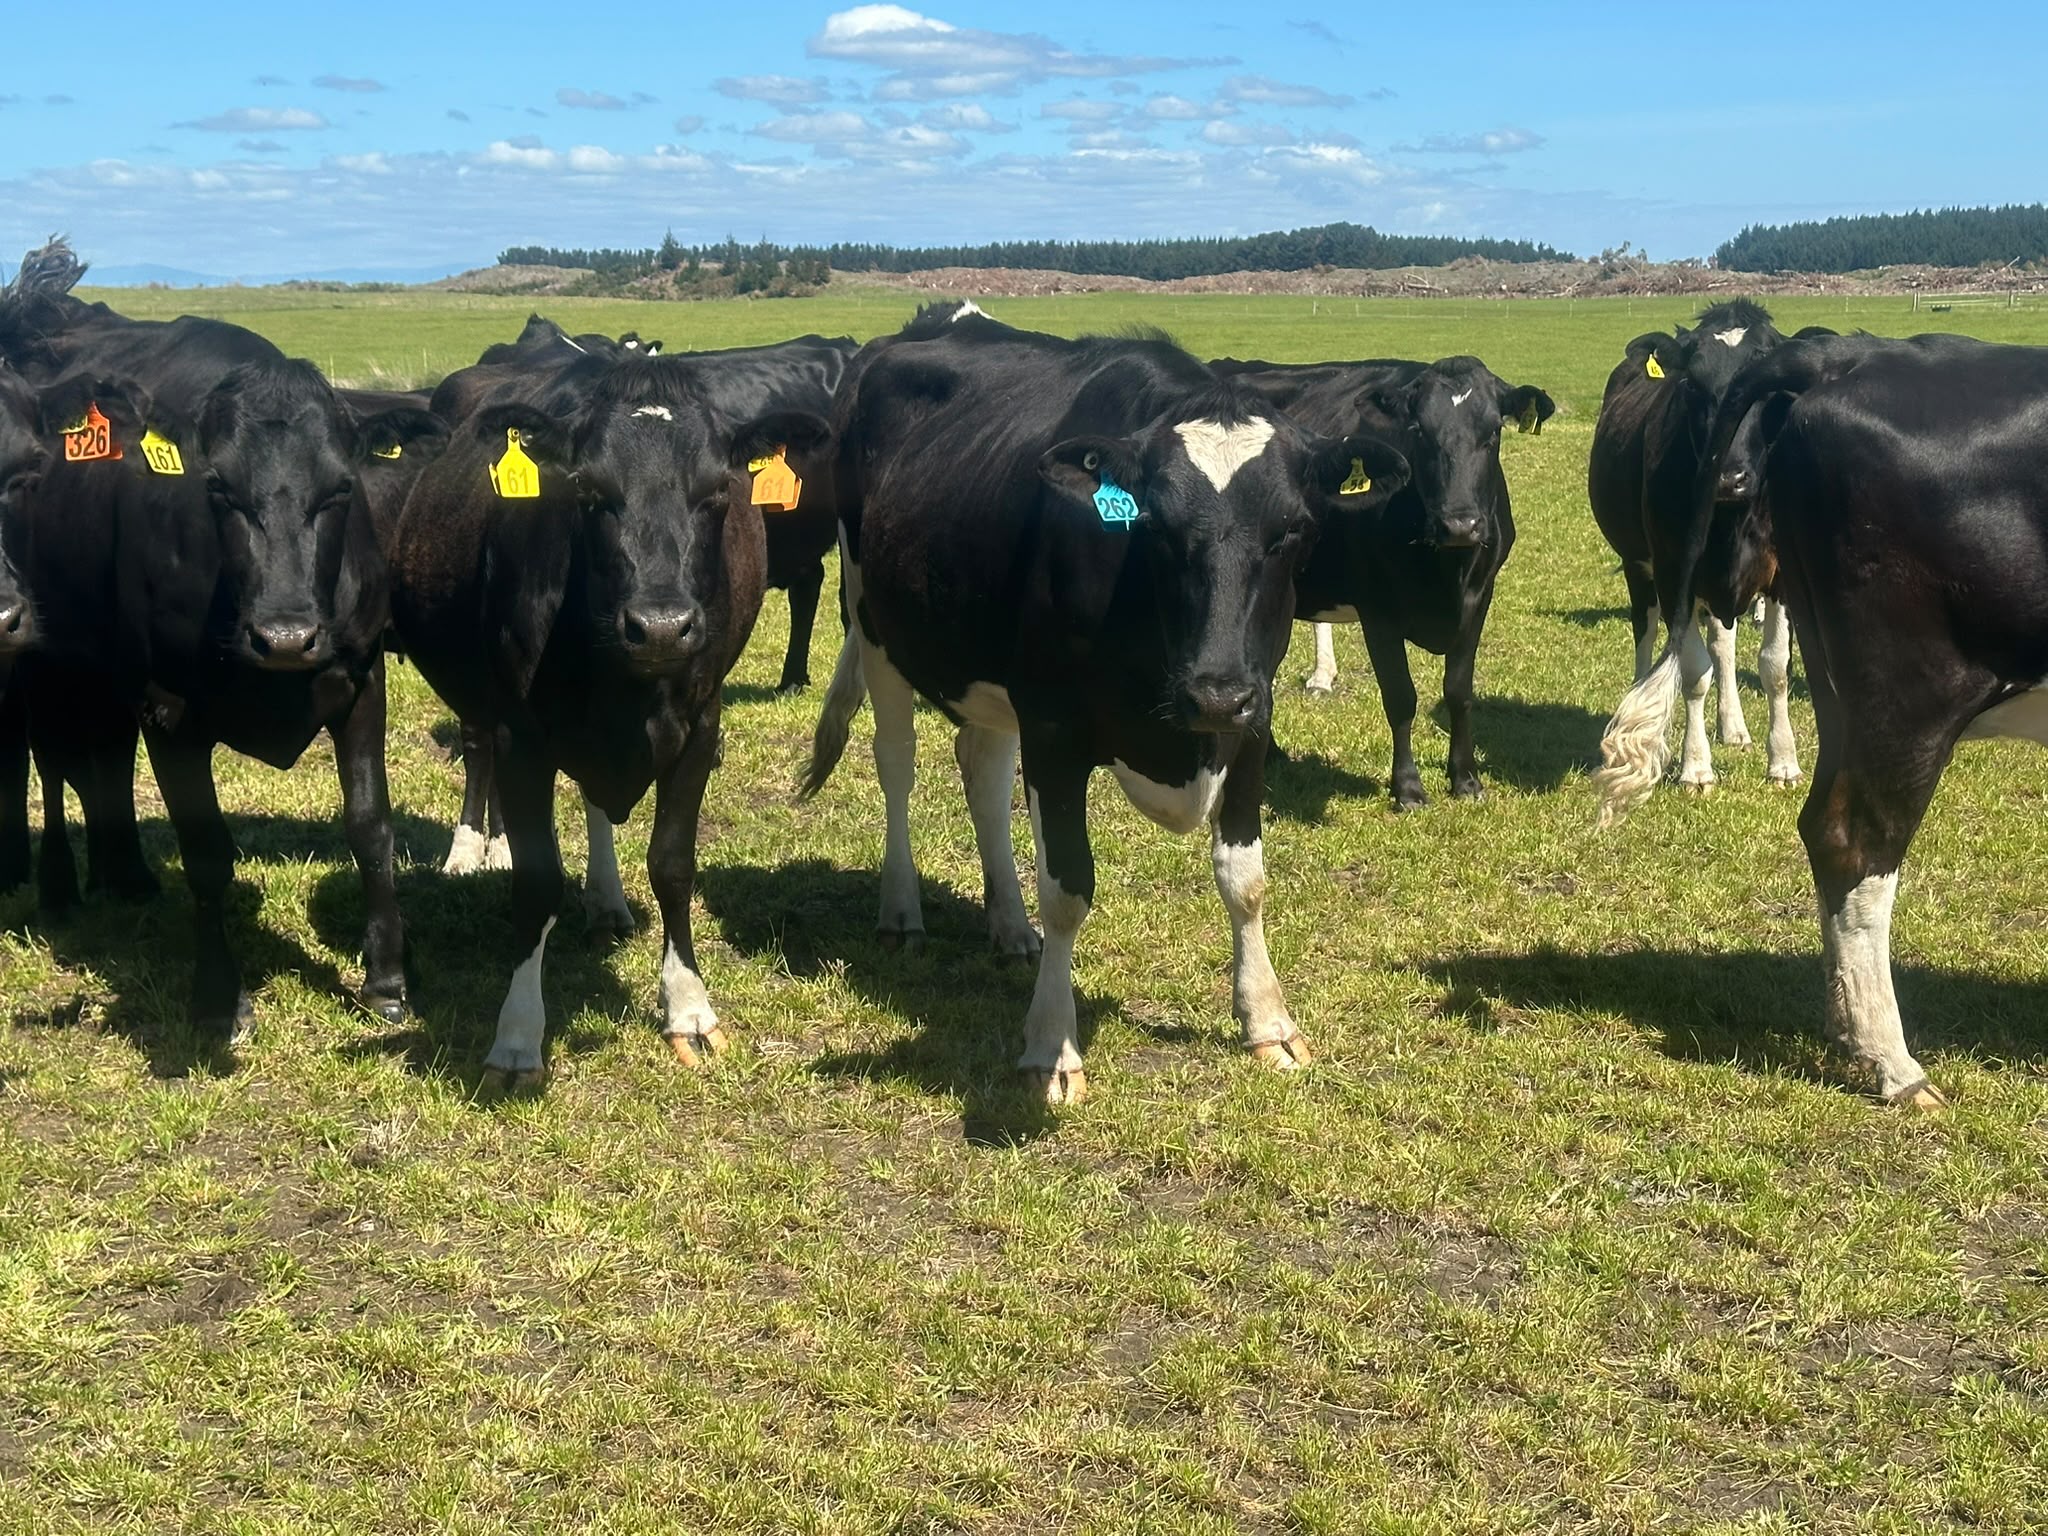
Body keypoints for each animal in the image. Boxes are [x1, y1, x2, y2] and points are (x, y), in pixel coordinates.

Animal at [0, 240, 442, 1034]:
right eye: (218, 490)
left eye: (340, 489)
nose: (287, 637)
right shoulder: (170, 708)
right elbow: (205, 853)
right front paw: (217, 996)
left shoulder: (362, 680)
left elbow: (371, 828)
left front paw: (388, 981)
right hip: (46, 659)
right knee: (53, 764)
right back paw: (58, 888)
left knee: (105, 762)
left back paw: (127, 874)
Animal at [801, 303, 1409, 1105]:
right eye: (1156, 528)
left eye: (1293, 531)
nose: (1214, 690)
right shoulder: (1054, 730)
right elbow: (1067, 888)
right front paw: (1051, 1048)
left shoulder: (1254, 721)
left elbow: (1245, 879)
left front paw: (1268, 1022)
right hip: (874, 621)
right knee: (896, 763)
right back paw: (901, 912)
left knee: (982, 769)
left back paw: (1009, 925)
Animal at [1210, 355, 1553, 807]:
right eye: (1419, 430)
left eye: (1494, 430)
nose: (1460, 525)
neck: (1447, 572)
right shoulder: (1378, 611)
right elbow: (1401, 696)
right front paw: (1407, 787)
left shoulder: (1480, 598)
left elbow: (1459, 692)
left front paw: (1465, 779)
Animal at [1587, 299, 1814, 792]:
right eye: (1693, 383)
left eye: (1767, 389)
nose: (1728, 476)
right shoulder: (1675, 573)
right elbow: (1692, 671)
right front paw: (1695, 767)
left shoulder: (1781, 576)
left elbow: (1774, 668)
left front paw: (1783, 761)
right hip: (1639, 568)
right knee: (1647, 635)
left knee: (1723, 646)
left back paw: (1733, 727)